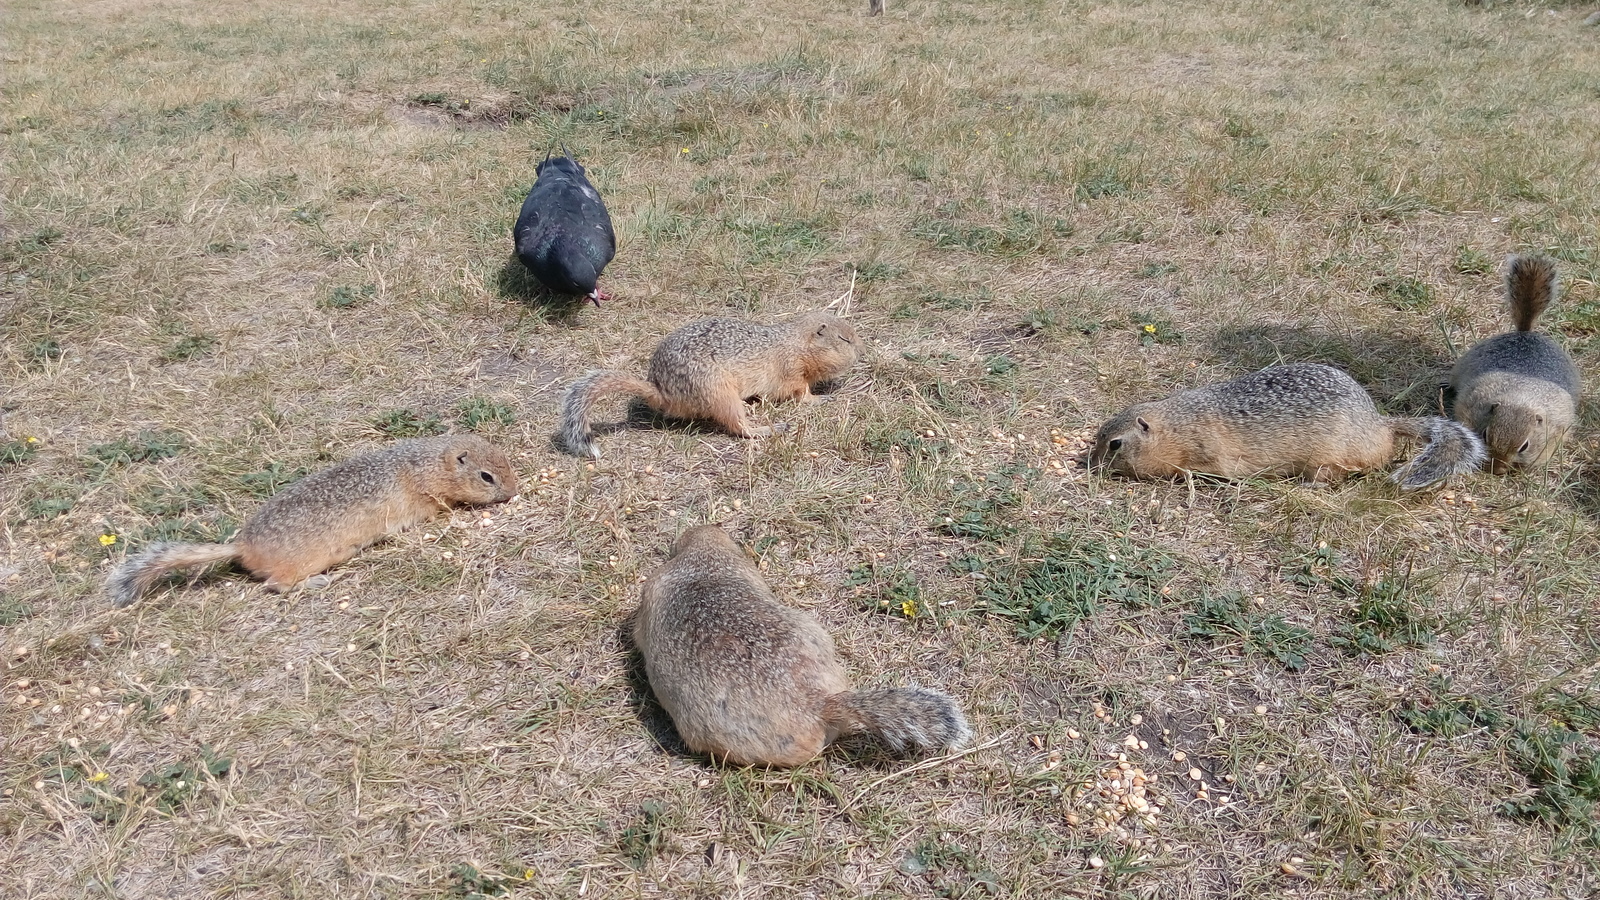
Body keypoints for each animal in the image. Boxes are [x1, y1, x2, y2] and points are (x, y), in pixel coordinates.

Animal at [106, 432, 518, 605]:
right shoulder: (428, 497)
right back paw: (317, 583)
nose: (513, 490)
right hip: (295, 566)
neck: (428, 462)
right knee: (274, 586)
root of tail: (240, 546)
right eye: (486, 476)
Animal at [563, 312, 864, 458]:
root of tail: (660, 390)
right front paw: (820, 399)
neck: (796, 342)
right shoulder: (791, 371)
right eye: (844, 339)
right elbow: (800, 393)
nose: (861, 350)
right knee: (738, 428)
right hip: (718, 390)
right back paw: (768, 428)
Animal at [1088, 361, 1484, 490]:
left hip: (1327, 457)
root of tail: (1381, 425)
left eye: (1115, 444)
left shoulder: (1208, 451)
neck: (1176, 425)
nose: (1090, 465)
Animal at [1446, 249, 1580, 470]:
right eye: (1484, 434)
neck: (1520, 398)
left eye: (1524, 446)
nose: (1496, 470)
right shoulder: (1469, 403)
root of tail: (1524, 333)